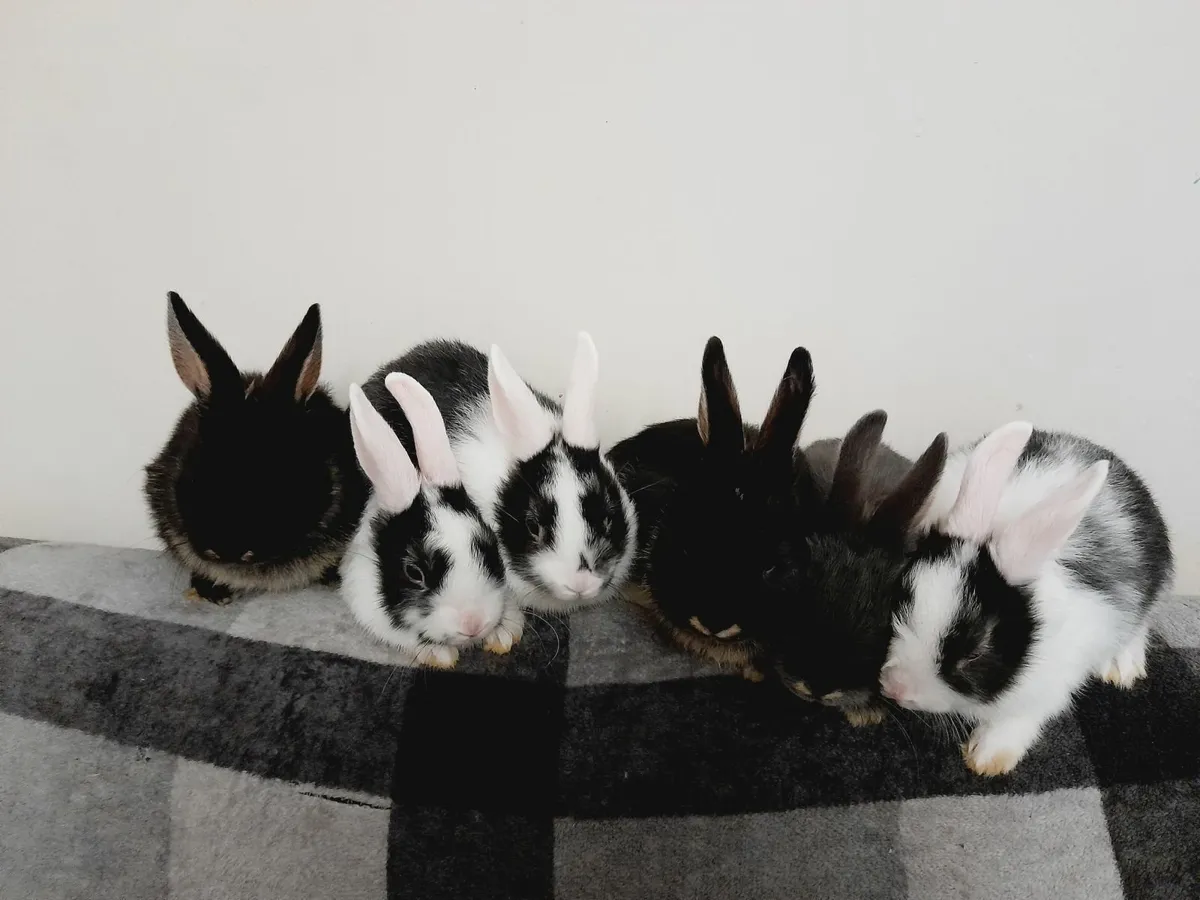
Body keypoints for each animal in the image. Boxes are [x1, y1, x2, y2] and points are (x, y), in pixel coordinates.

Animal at [880, 422, 1174, 775]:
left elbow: (1019, 718)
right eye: (899, 601)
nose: (896, 688)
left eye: (975, 651)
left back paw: (1122, 667)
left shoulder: (1050, 684)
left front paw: (987, 758)